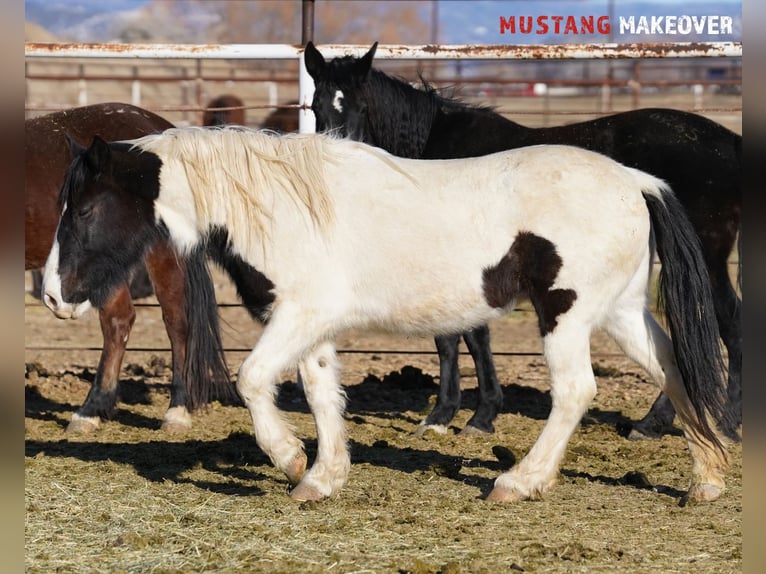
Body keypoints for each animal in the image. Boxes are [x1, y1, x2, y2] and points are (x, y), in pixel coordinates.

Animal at [42, 128, 736, 506]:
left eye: (85, 209)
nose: (52, 293)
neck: (278, 205)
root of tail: (637, 180)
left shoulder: (299, 314)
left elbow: (253, 381)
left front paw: (289, 459)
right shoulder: (312, 327)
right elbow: (321, 394)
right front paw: (321, 477)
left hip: (566, 315)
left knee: (575, 392)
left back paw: (518, 482)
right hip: (620, 313)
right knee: (675, 369)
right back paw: (707, 479)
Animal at [304, 42, 744, 444]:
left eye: (362, 105)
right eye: (316, 106)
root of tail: (729, 143)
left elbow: (463, 337)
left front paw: (466, 416)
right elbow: (456, 336)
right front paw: (457, 413)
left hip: (707, 256)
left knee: (725, 321)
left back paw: (709, 422)